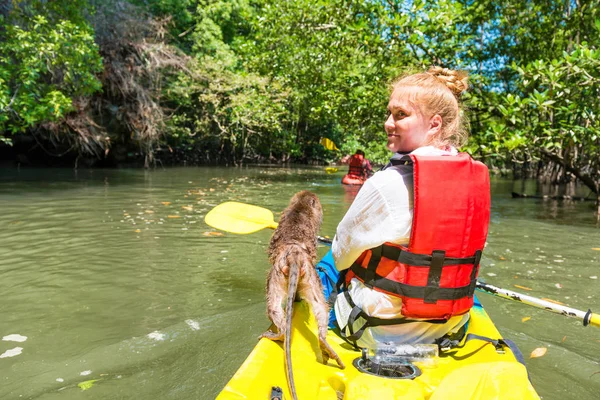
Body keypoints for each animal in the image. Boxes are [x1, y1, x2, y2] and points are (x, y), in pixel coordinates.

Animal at [260, 191, 344, 400]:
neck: (300, 207)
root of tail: (294, 254)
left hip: (278, 275)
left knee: (273, 305)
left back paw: (280, 334)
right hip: (311, 277)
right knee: (320, 306)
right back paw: (324, 342)